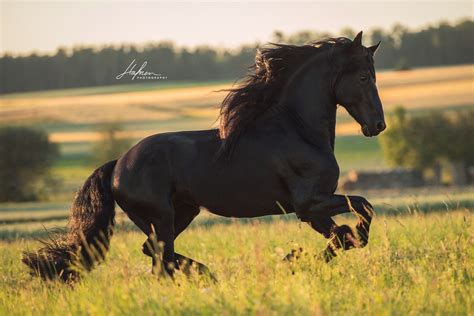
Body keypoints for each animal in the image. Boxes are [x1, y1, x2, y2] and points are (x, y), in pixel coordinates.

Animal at [23, 30, 386, 280]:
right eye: (363, 76)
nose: (378, 125)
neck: (297, 130)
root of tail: (117, 165)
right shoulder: (308, 203)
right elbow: (360, 212)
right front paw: (294, 259)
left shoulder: (311, 210)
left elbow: (345, 231)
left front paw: (298, 258)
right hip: (161, 216)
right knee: (162, 259)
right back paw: (207, 276)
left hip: (181, 212)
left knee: (156, 255)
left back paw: (206, 274)